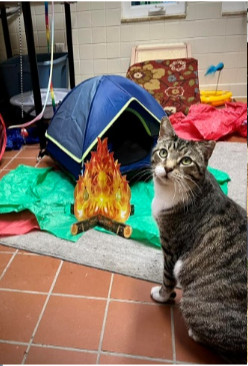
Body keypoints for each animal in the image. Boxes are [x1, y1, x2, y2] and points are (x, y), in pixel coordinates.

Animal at [151, 116, 246, 364]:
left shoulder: (171, 247)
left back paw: (195, 333)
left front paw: (162, 296)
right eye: (163, 152)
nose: (167, 168)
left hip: (193, 304)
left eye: (185, 161)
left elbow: (167, 279)